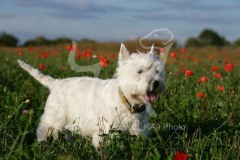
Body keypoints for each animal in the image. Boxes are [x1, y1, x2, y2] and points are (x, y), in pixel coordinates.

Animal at [17, 43, 165, 148]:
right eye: (140, 71)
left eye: (157, 71)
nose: (156, 83)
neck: (128, 102)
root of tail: (56, 83)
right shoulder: (106, 129)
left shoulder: (139, 130)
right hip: (54, 117)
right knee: (44, 130)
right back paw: (43, 145)